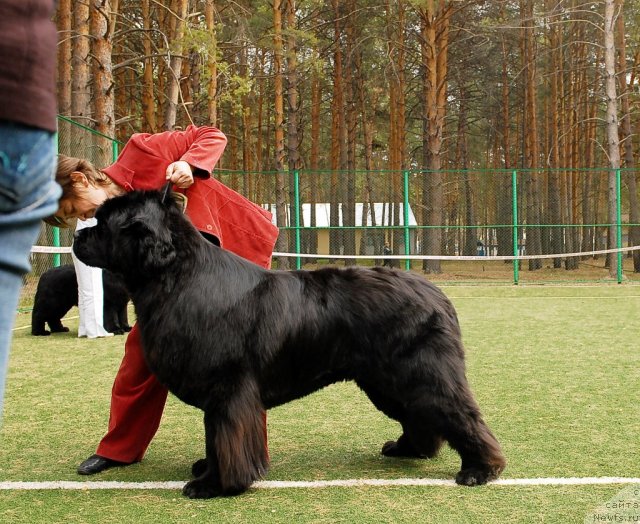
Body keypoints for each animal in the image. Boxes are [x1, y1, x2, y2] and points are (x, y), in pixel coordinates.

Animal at [74, 188, 504, 500]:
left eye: (103, 223)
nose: (77, 235)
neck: (177, 277)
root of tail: (437, 294)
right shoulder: (220, 395)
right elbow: (215, 439)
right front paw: (208, 470)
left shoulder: (228, 391)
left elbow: (225, 437)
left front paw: (215, 485)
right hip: (387, 381)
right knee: (421, 415)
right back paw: (408, 449)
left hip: (418, 373)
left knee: (459, 413)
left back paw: (480, 470)